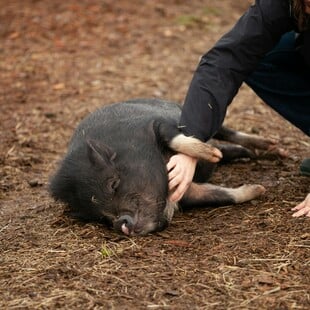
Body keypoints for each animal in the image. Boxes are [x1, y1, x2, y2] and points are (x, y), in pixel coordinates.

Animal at [49, 98, 278, 236]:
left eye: (113, 184)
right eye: (99, 216)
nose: (120, 224)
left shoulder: (157, 124)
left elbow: (175, 138)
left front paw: (210, 154)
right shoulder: (187, 193)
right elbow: (220, 196)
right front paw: (258, 189)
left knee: (227, 132)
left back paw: (270, 147)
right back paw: (245, 154)